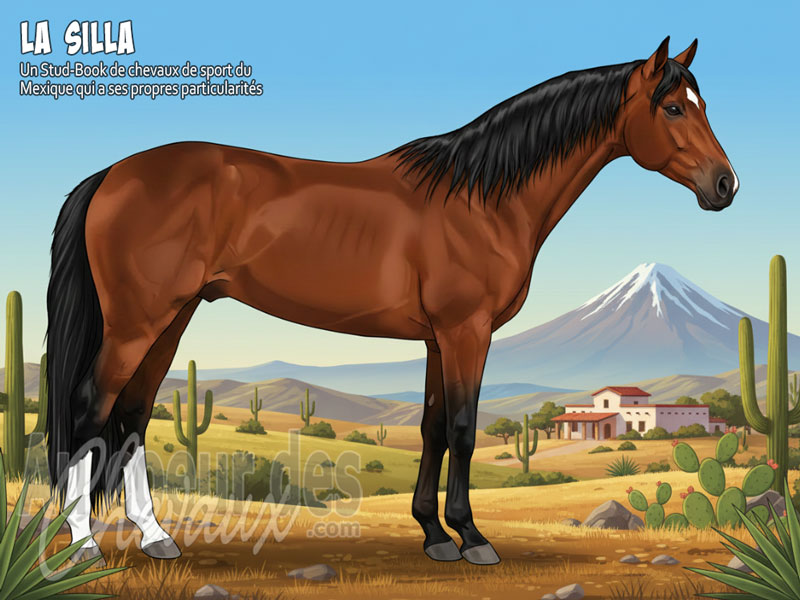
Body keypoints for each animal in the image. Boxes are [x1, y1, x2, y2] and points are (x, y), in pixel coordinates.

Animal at [46, 36, 737, 566]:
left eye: (702, 104)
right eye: (672, 107)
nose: (725, 185)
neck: (481, 198)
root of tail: (113, 174)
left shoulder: (437, 337)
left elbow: (432, 427)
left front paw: (434, 534)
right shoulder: (466, 331)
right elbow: (463, 428)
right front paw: (473, 538)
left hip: (171, 318)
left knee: (133, 416)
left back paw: (156, 537)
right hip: (137, 322)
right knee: (89, 408)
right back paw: (84, 545)